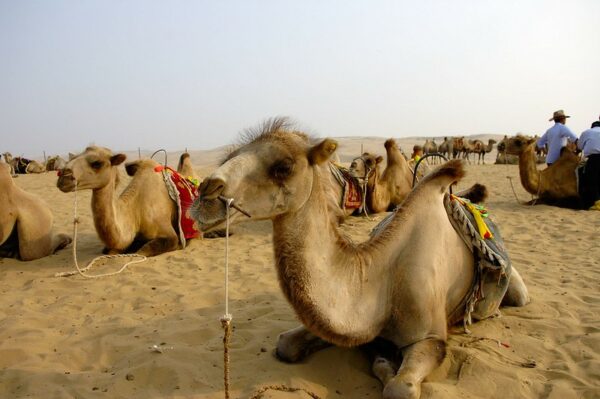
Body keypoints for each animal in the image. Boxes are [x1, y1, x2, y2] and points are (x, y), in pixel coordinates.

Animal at [56, 147, 198, 256]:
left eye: (97, 163)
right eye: (72, 158)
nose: (63, 177)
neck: (135, 211)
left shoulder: (169, 235)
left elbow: (141, 252)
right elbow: (110, 251)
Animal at [190, 119, 528, 399]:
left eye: (283, 166)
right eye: (230, 155)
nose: (205, 194)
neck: (383, 280)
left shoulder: (431, 338)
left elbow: (400, 389)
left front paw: (388, 365)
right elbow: (286, 344)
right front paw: (381, 357)